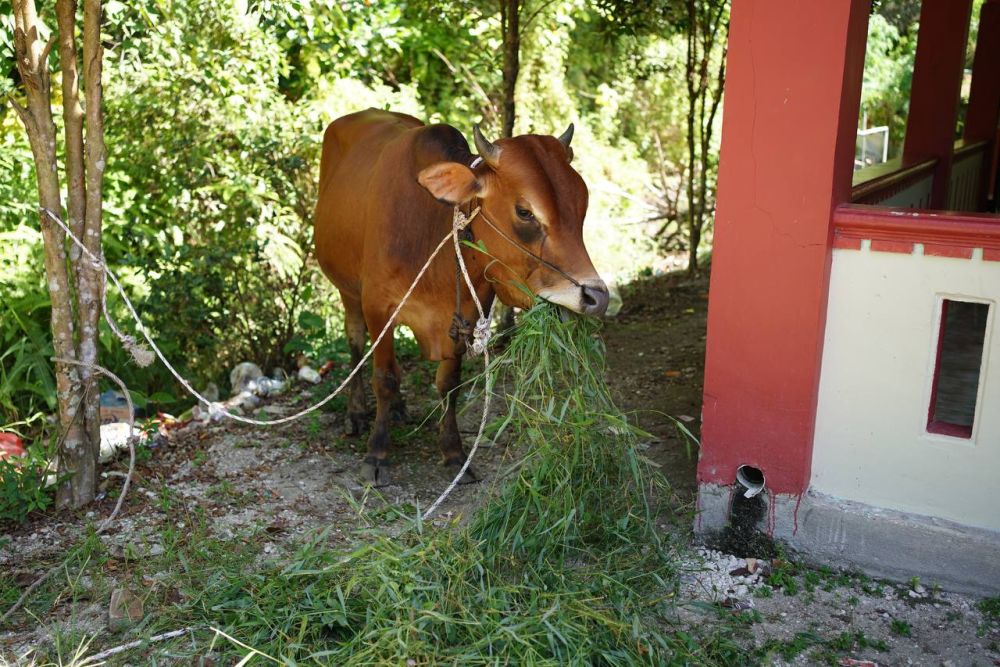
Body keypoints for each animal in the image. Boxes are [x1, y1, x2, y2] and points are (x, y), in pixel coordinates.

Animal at [316, 109, 604, 486]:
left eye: (582, 204)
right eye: (525, 212)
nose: (596, 296)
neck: (431, 229)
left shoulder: (464, 314)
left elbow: (449, 383)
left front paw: (454, 453)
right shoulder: (378, 306)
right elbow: (385, 379)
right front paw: (376, 453)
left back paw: (397, 410)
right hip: (348, 291)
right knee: (355, 343)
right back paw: (357, 412)